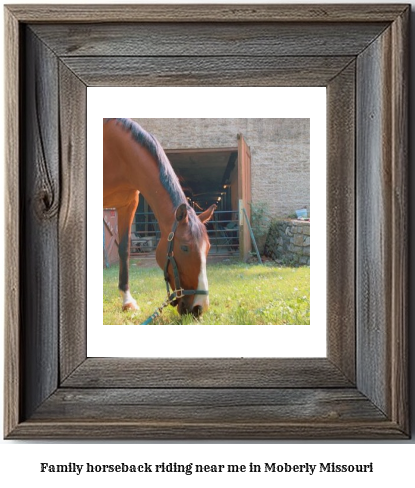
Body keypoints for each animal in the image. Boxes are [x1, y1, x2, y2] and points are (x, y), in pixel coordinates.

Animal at [103, 118, 216, 316]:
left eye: (208, 248)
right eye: (185, 248)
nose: (199, 307)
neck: (117, 152)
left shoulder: (128, 205)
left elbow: (124, 250)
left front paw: (127, 301)